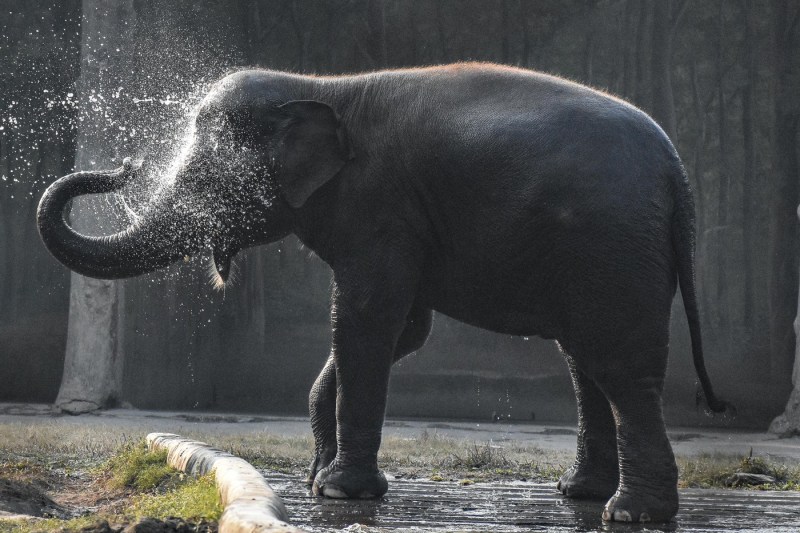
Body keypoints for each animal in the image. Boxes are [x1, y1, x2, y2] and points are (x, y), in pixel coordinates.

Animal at [37, 62, 730, 523]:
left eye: (210, 178)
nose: (123, 166)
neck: (322, 88)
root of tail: (677, 171)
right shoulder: (397, 220)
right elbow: (403, 329)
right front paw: (319, 480)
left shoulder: (381, 208)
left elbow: (367, 319)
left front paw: (340, 491)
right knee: (585, 359)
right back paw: (578, 495)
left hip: (611, 245)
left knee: (619, 364)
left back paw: (628, 514)